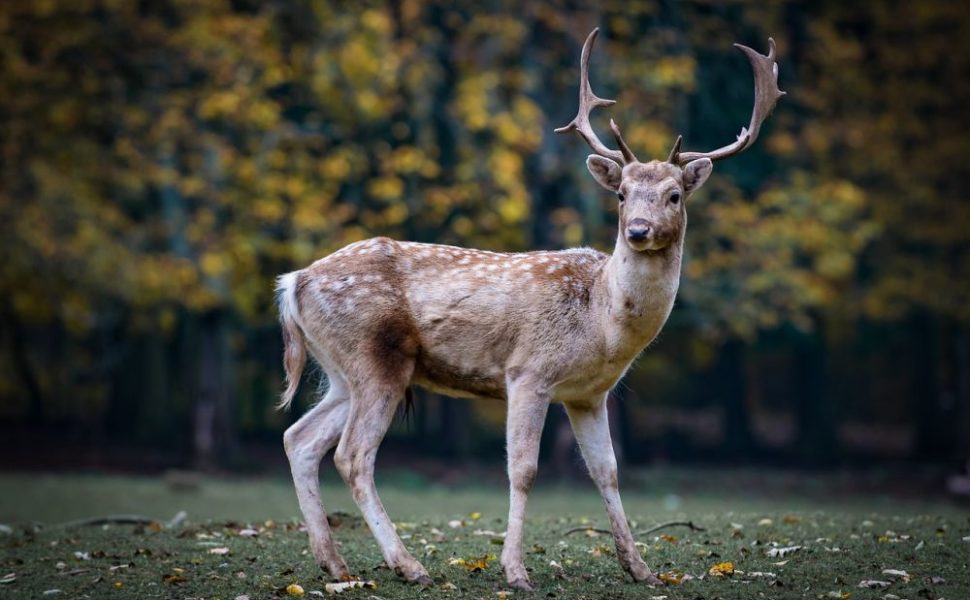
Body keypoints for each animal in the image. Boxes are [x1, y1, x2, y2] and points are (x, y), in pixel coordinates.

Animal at [276, 28, 784, 592]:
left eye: (674, 195)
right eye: (622, 194)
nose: (637, 230)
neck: (602, 323)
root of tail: (293, 282)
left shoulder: (588, 395)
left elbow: (607, 471)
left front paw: (641, 568)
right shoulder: (528, 372)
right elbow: (523, 470)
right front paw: (515, 572)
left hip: (341, 370)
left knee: (299, 438)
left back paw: (335, 564)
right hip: (375, 358)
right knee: (352, 455)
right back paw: (409, 566)